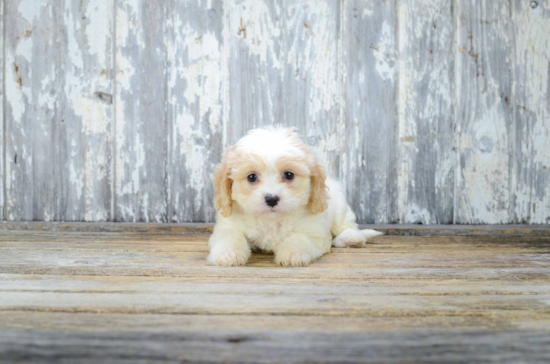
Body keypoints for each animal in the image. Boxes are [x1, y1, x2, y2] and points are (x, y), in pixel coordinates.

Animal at [207, 126, 384, 266]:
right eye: (251, 177)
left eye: (289, 175)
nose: (272, 199)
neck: (271, 220)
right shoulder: (229, 225)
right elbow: (229, 237)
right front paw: (228, 254)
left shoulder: (313, 230)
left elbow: (299, 238)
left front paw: (292, 254)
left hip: (340, 207)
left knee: (347, 225)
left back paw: (350, 239)